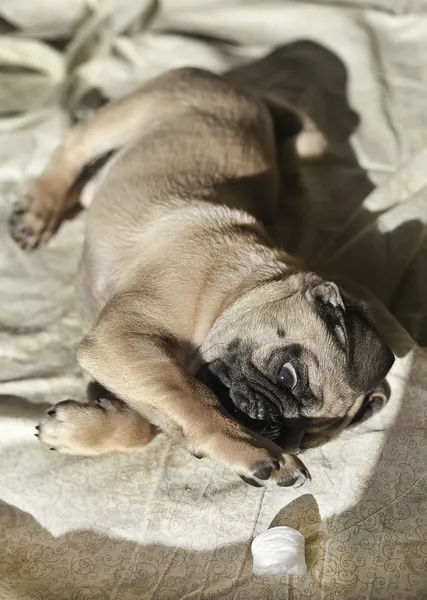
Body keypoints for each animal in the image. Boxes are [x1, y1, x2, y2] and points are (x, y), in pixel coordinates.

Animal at [9, 67, 394, 488]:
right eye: (287, 377)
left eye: (300, 439)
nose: (272, 428)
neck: (232, 290)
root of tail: (244, 91)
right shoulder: (119, 340)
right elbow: (192, 399)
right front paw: (254, 451)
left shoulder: (128, 366)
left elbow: (152, 421)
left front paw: (77, 429)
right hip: (127, 117)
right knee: (75, 145)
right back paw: (40, 207)